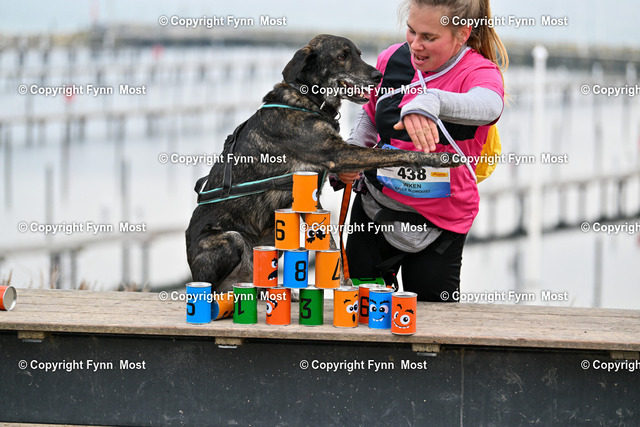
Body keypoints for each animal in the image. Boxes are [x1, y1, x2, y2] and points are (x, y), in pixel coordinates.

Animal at [186, 34, 459, 293]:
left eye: (359, 53)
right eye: (342, 56)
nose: (378, 76)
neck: (308, 99)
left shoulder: (313, 198)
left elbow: (330, 242)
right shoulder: (337, 154)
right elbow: (392, 154)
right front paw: (437, 158)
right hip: (232, 239)